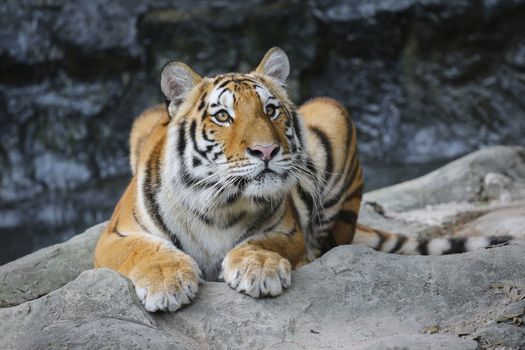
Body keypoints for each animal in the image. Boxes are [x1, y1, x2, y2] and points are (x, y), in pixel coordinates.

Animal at [93, 47, 512, 312]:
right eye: (223, 116)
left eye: (271, 110)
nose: (266, 151)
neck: (218, 203)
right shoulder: (115, 235)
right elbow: (146, 249)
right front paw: (167, 282)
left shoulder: (288, 230)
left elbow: (263, 242)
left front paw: (258, 270)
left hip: (333, 113)